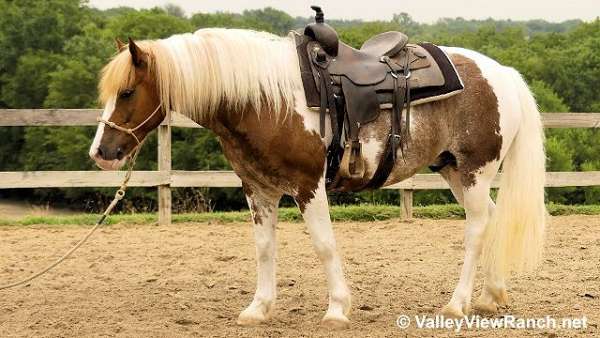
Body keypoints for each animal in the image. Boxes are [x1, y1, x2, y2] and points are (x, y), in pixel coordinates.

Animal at [90, 29, 548, 328]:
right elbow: (264, 249)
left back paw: (457, 304)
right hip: (455, 171)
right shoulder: (258, 190)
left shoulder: (307, 186)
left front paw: (337, 309)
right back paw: (490, 297)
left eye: (127, 92)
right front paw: (259, 308)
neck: (263, 99)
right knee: (492, 219)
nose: (101, 153)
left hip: (474, 172)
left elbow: (325, 245)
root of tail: (502, 73)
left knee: (477, 228)